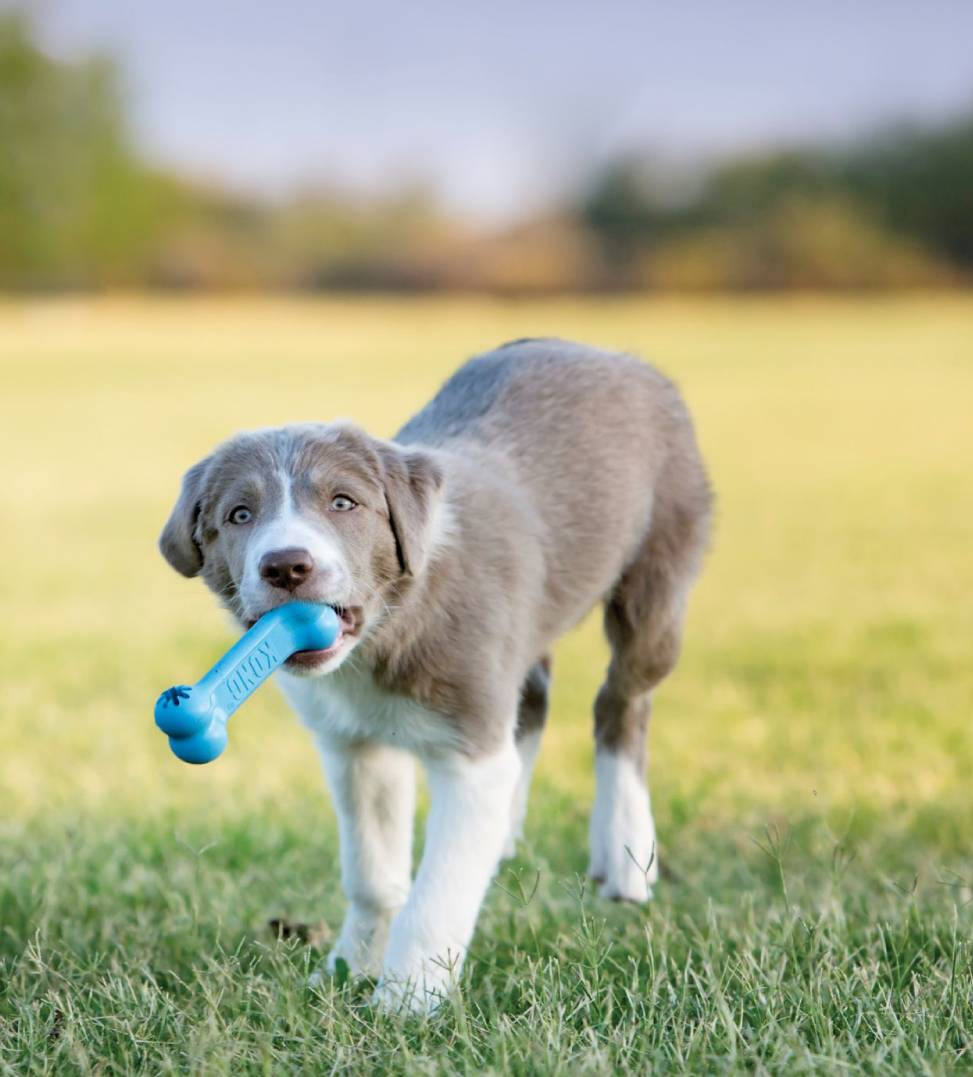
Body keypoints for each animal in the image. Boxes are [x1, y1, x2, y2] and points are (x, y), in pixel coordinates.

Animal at [158, 336, 706, 1008]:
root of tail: (614, 353)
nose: (287, 566)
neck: (384, 630)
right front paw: (349, 967)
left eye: (344, 503)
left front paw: (408, 998)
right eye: (239, 515)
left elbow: (438, 889)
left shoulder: (468, 750)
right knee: (533, 700)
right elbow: (372, 874)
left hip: (659, 571)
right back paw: (507, 831)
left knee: (622, 701)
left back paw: (626, 850)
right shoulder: (356, 746)